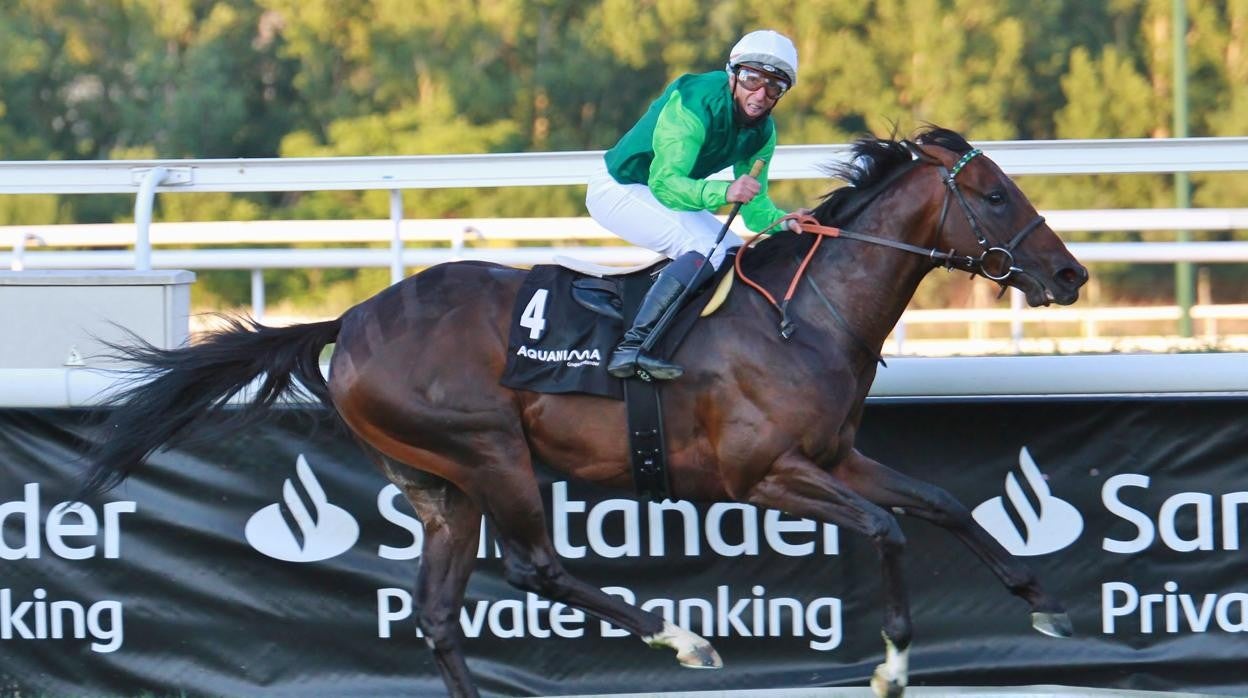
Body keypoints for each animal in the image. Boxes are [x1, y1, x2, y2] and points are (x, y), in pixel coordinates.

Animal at [82, 126, 1088, 698]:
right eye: (995, 193)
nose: (1071, 274)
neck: (802, 315)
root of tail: (355, 320)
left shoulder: (836, 457)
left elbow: (944, 504)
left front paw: (1045, 607)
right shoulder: (765, 476)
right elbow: (886, 528)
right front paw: (892, 664)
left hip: (439, 487)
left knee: (439, 614)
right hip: (488, 452)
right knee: (535, 568)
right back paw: (686, 641)